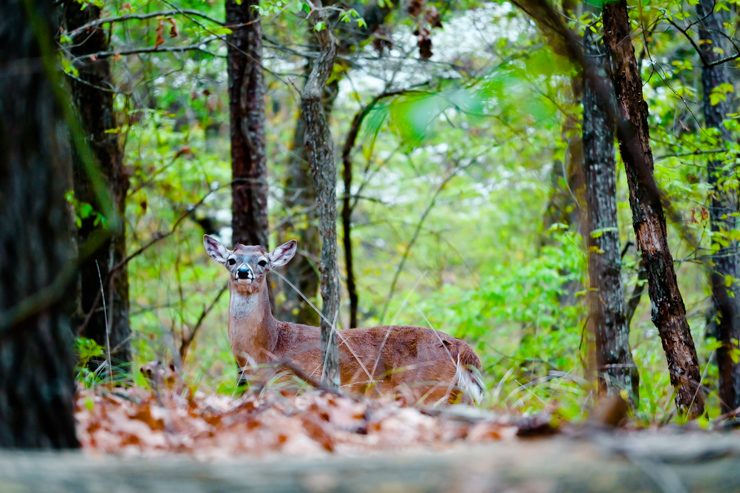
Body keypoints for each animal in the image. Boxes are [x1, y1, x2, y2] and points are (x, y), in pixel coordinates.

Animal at [202, 234, 486, 404]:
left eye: (262, 261)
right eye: (231, 259)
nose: (243, 271)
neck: (265, 349)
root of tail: (464, 350)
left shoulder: (290, 384)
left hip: (424, 387)